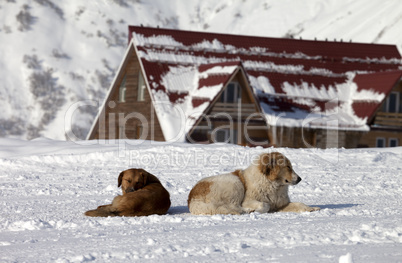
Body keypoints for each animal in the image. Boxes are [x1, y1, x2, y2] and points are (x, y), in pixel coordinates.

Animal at [188, 153, 320, 217]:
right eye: (288, 167)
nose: (300, 179)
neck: (272, 185)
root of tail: (192, 200)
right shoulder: (248, 201)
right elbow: (265, 205)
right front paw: (255, 210)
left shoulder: (280, 205)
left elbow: (299, 204)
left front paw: (311, 208)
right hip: (235, 182)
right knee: (232, 207)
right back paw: (247, 211)